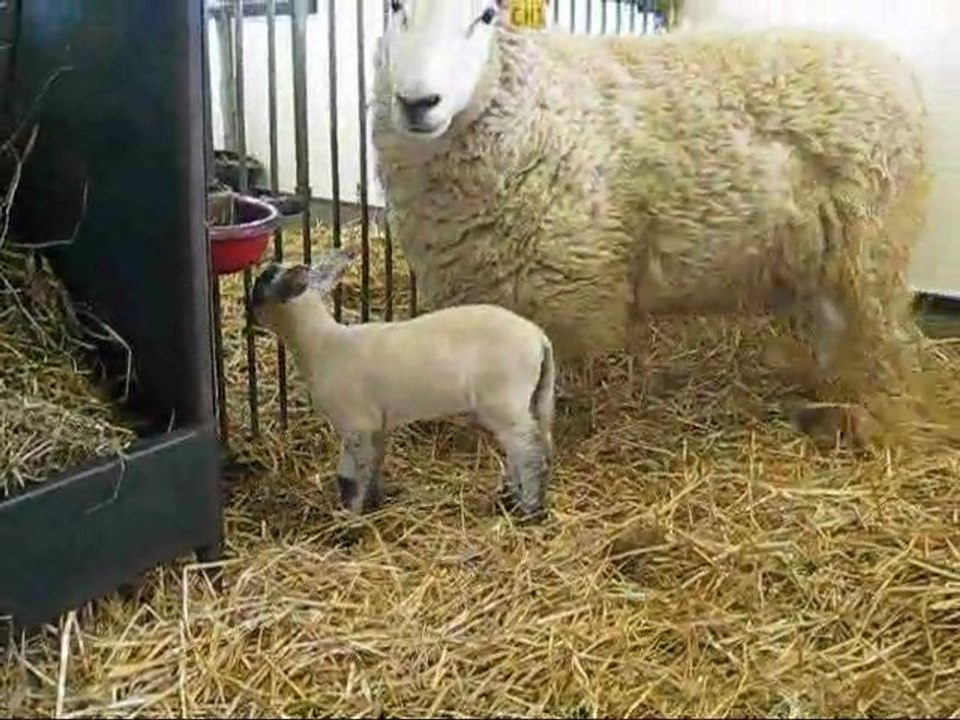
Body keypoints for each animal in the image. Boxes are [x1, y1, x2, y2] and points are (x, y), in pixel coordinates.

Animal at [250, 247, 556, 520]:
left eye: (260, 285)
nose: (248, 310)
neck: (321, 344)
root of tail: (539, 339)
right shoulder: (375, 423)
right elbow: (374, 463)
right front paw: (374, 502)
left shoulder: (356, 422)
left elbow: (350, 475)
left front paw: (350, 516)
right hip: (534, 396)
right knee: (534, 442)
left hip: (503, 399)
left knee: (528, 450)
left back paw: (529, 508)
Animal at [371, 1, 932, 440]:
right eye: (395, 6)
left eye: (485, 15)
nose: (417, 102)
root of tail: (894, 65)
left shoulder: (561, 287)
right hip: (827, 249)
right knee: (835, 325)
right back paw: (824, 394)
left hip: (875, 245)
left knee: (884, 339)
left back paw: (873, 419)